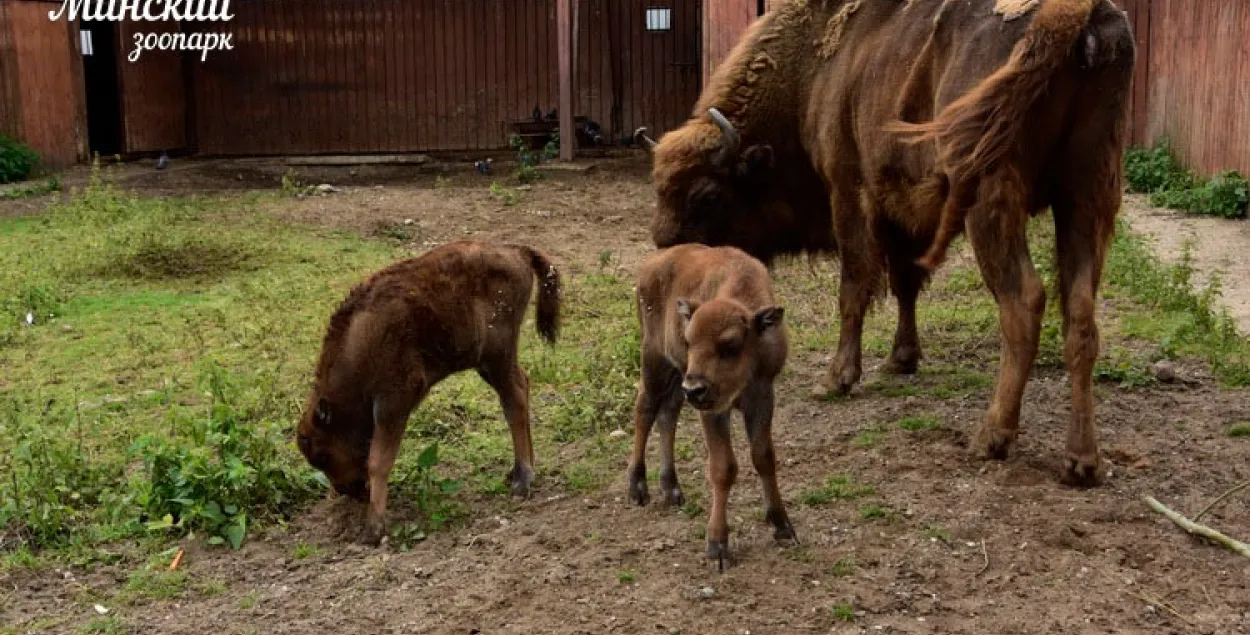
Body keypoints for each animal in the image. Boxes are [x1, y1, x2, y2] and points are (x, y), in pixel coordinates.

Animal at [295, 237, 560, 540]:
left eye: (323, 454)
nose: (346, 490)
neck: (360, 341)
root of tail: (518, 251)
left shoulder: (393, 400)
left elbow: (379, 460)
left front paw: (374, 527)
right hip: (489, 363)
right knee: (521, 387)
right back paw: (519, 471)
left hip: (498, 355)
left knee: (514, 400)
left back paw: (522, 480)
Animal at [630, 243, 795, 570]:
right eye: (689, 340)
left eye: (730, 345)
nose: (695, 388)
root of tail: (651, 264)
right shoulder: (714, 410)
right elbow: (723, 468)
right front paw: (717, 544)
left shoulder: (762, 398)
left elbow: (763, 457)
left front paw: (782, 525)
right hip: (655, 361)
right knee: (646, 409)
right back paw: (638, 487)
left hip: (676, 376)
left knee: (668, 414)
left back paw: (671, 489)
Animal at [640, 1, 1140, 485]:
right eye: (659, 189)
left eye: (706, 195)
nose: (668, 256)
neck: (813, 71)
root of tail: (1074, 18)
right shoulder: (899, 207)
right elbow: (905, 283)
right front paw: (902, 359)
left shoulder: (848, 191)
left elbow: (854, 287)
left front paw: (836, 378)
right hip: (1088, 194)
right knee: (1080, 316)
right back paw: (1082, 461)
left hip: (993, 200)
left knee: (1024, 302)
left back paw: (992, 436)